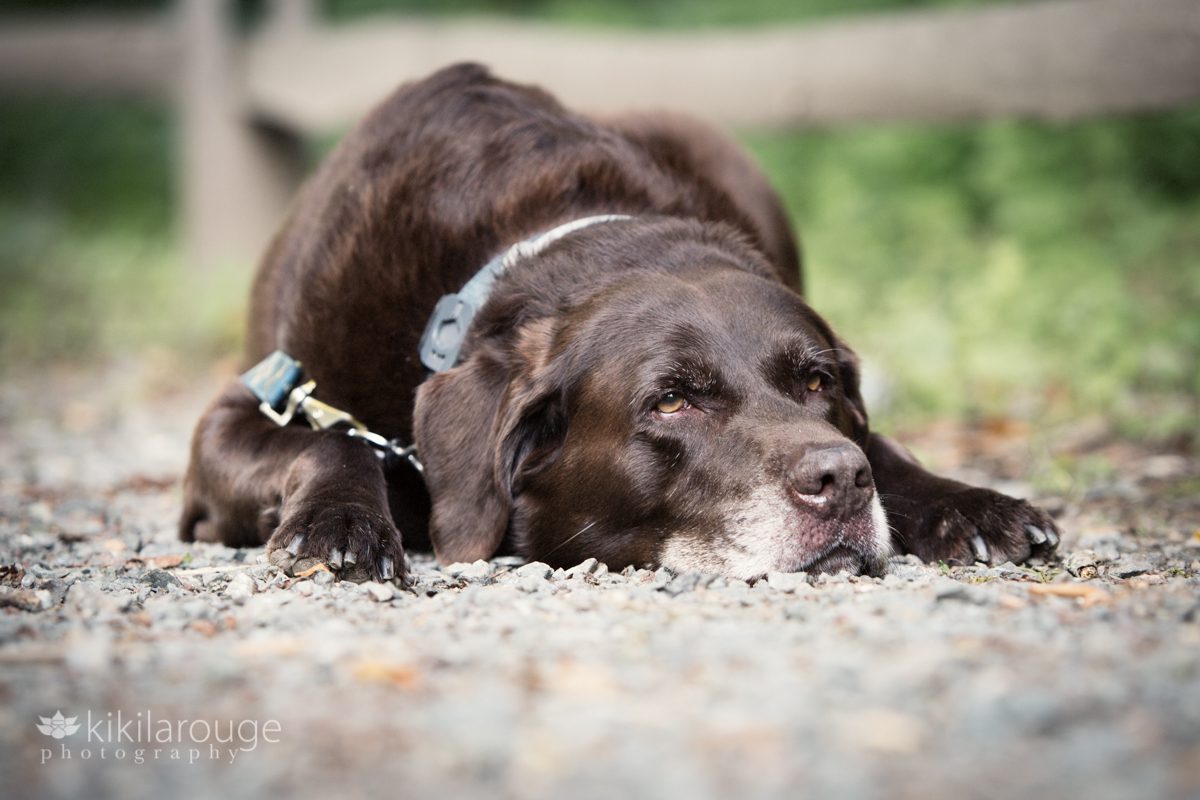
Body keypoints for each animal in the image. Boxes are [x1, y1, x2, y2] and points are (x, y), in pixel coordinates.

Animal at [177, 62, 1060, 582]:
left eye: (818, 383)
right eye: (670, 401)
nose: (838, 481)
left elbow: (885, 444)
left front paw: (967, 503)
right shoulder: (244, 410)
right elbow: (333, 439)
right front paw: (342, 521)